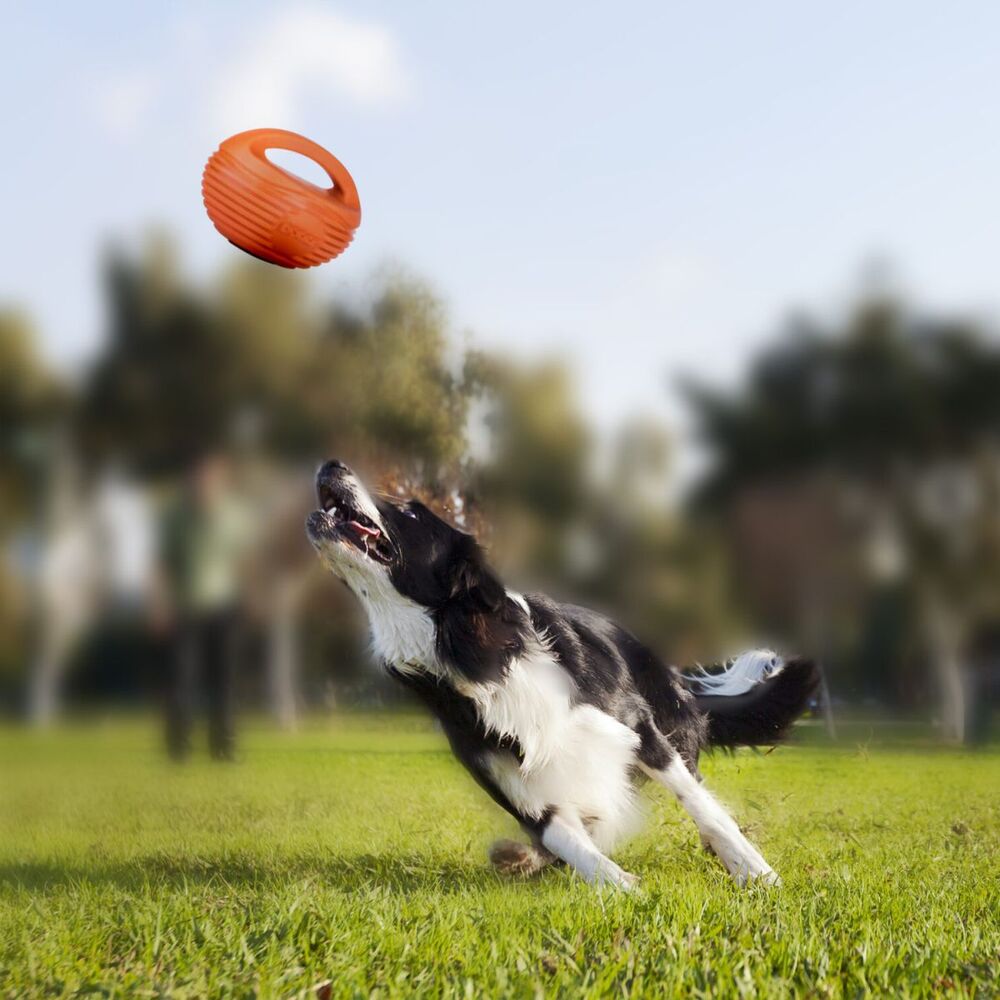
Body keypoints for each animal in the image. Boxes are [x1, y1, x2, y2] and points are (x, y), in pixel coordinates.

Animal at [306, 460, 820, 892]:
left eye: (412, 512)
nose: (330, 464)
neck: (478, 651)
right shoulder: (512, 781)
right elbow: (564, 839)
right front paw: (621, 887)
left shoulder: (634, 726)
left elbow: (700, 805)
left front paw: (755, 870)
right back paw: (521, 858)